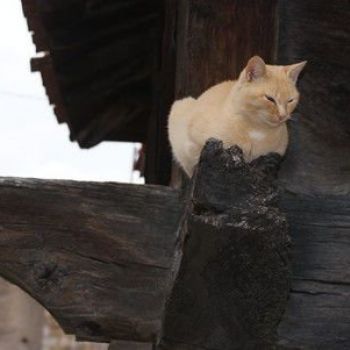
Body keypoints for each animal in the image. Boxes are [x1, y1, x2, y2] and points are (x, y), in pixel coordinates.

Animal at [167, 56, 306, 176]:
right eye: (270, 99)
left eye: (290, 100)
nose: (283, 115)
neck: (257, 130)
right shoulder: (193, 145)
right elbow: (193, 159)